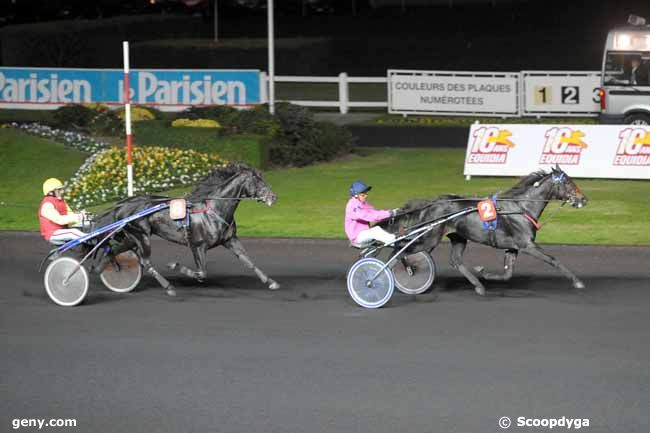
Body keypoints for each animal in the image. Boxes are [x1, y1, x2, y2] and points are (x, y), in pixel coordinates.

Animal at [95, 164, 278, 296]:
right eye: (257, 181)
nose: (273, 197)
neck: (213, 210)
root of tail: (122, 204)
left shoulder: (230, 240)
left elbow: (248, 261)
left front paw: (271, 282)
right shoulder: (197, 245)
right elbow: (201, 273)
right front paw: (175, 266)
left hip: (131, 236)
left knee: (113, 251)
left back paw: (104, 269)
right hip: (141, 235)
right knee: (145, 261)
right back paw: (168, 287)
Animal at [380, 165, 588, 294]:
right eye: (568, 182)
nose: (584, 199)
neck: (522, 207)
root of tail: (431, 203)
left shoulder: (512, 247)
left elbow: (507, 273)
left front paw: (485, 272)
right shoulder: (527, 245)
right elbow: (553, 260)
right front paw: (577, 281)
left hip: (457, 237)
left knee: (455, 260)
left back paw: (479, 286)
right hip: (430, 237)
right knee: (401, 249)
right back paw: (385, 274)